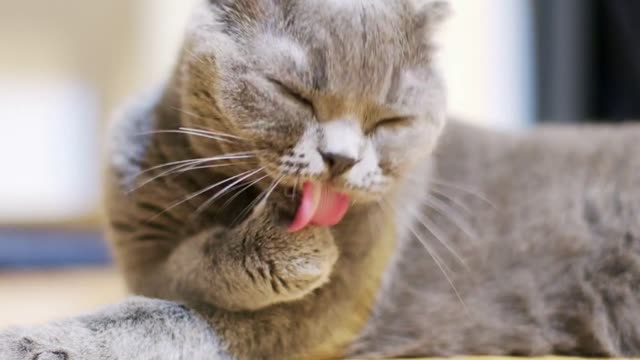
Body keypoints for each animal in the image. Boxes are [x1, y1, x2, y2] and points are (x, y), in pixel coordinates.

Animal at [1, 0, 640, 358]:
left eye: (391, 120)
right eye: (292, 94)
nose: (340, 158)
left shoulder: (321, 308)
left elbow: (152, 314)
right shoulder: (142, 246)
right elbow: (168, 279)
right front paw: (285, 249)